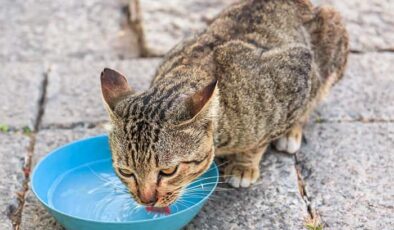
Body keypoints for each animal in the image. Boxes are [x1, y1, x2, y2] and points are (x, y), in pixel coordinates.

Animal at [100, 0, 346, 208]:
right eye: (125, 172)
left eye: (169, 171)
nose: (146, 200)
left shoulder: (297, 73)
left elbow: (259, 141)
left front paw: (244, 165)